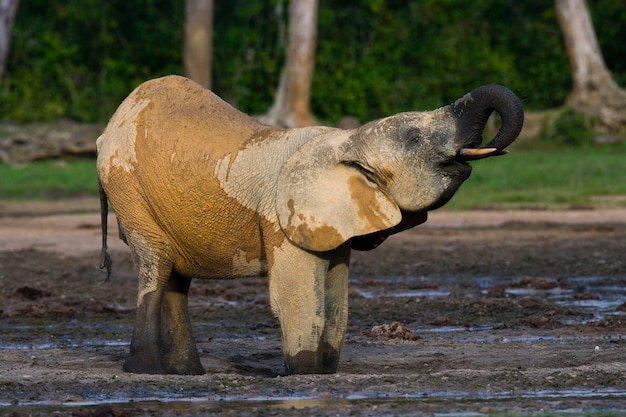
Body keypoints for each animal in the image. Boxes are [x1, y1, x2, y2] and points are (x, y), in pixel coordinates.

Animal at [95, 74, 520, 374]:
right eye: (415, 138)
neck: (347, 141)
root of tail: (112, 123)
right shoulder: (283, 219)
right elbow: (298, 298)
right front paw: (303, 376)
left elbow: (336, 302)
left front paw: (325, 373)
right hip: (128, 188)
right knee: (156, 262)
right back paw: (146, 371)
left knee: (176, 276)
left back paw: (186, 374)